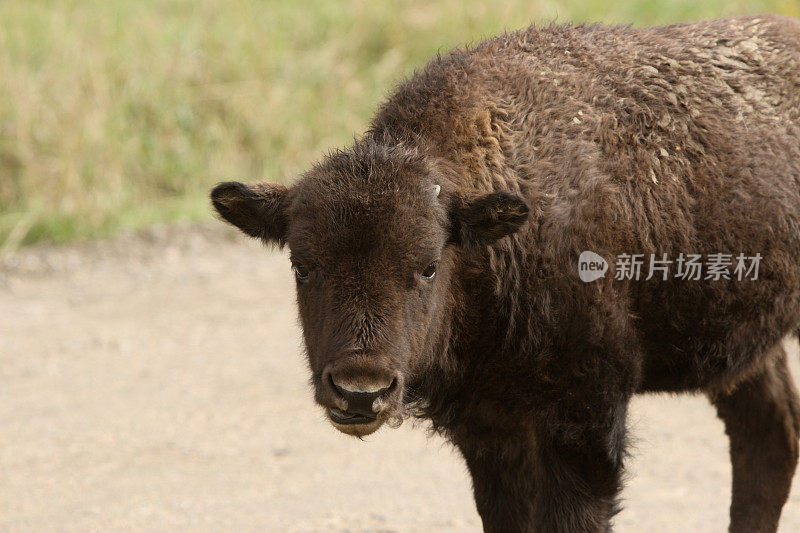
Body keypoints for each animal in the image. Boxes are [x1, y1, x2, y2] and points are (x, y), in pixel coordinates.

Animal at [211, 15, 800, 532]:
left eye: (428, 266)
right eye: (302, 265)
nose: (360, 391)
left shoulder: (585, 424)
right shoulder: (489, 429)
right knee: (769, 437)